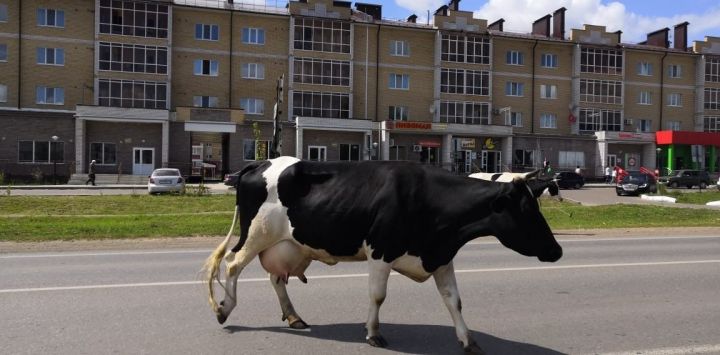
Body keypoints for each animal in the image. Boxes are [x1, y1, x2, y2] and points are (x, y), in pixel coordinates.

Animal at [204, 157, 564, 354]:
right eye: (526, 211)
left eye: (536, 206)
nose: (557, 250)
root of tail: (263, 162)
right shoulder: (380, 251)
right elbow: (378, 295)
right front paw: (374, 334)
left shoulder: (441, 256)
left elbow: (454, 301)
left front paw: (469, 341)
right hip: (256, 234)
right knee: (233, 265)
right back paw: (223, 310)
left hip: (285, 243)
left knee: (276, 277)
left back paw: (294, 317)